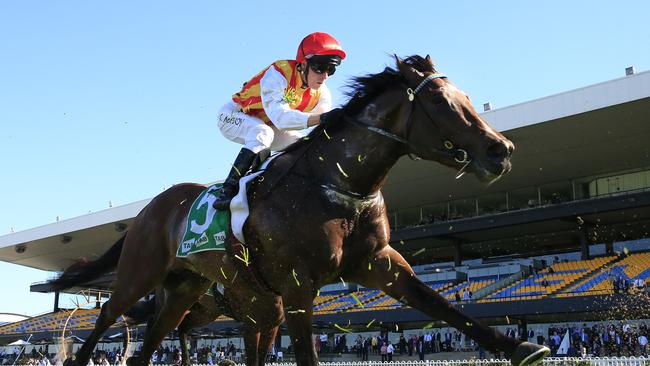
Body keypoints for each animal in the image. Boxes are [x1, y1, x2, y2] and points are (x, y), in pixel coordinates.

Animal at [48, 55, 548, 366]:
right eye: (442, 102)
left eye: (467, 97)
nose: (500, 151)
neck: (338, 185)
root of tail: (152, 207)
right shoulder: (296, 288)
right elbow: (305, 353)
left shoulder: (377, 263)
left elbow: (440, 303)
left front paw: (521, 347)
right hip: (140, 273)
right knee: (106, 319)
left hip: (183, 290)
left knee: (153, 341)